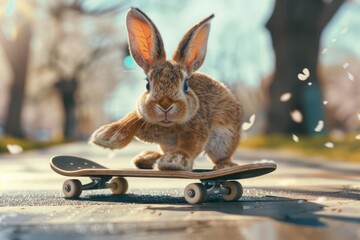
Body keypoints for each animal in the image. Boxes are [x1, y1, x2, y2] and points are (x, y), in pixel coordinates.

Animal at [89, 7, 243, 171]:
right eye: (147, 85)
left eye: (186, 85)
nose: (165, 105)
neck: (166, 125)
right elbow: (131, 118)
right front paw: (107, 136)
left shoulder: (197, 129)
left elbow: (190, 144)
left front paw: (175, 160)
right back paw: (146, 158)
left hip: (224, 140)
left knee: (221, 157)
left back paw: (225, 166)